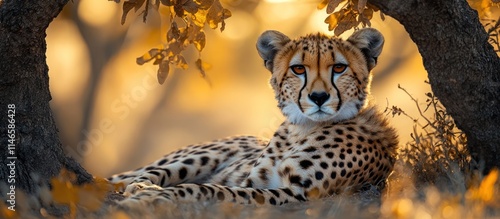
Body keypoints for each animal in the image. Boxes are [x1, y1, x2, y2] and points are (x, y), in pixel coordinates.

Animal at [108, 28, 398, 206]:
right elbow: (215, 187)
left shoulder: (295, 194)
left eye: (339, 68)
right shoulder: (253, 181)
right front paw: (147, 192)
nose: (318, 97)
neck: (302, 129)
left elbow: (210, 189)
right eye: (298, 69)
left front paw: (153, 197)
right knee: (135, 175)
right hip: (201, 156)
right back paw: (138, 185)